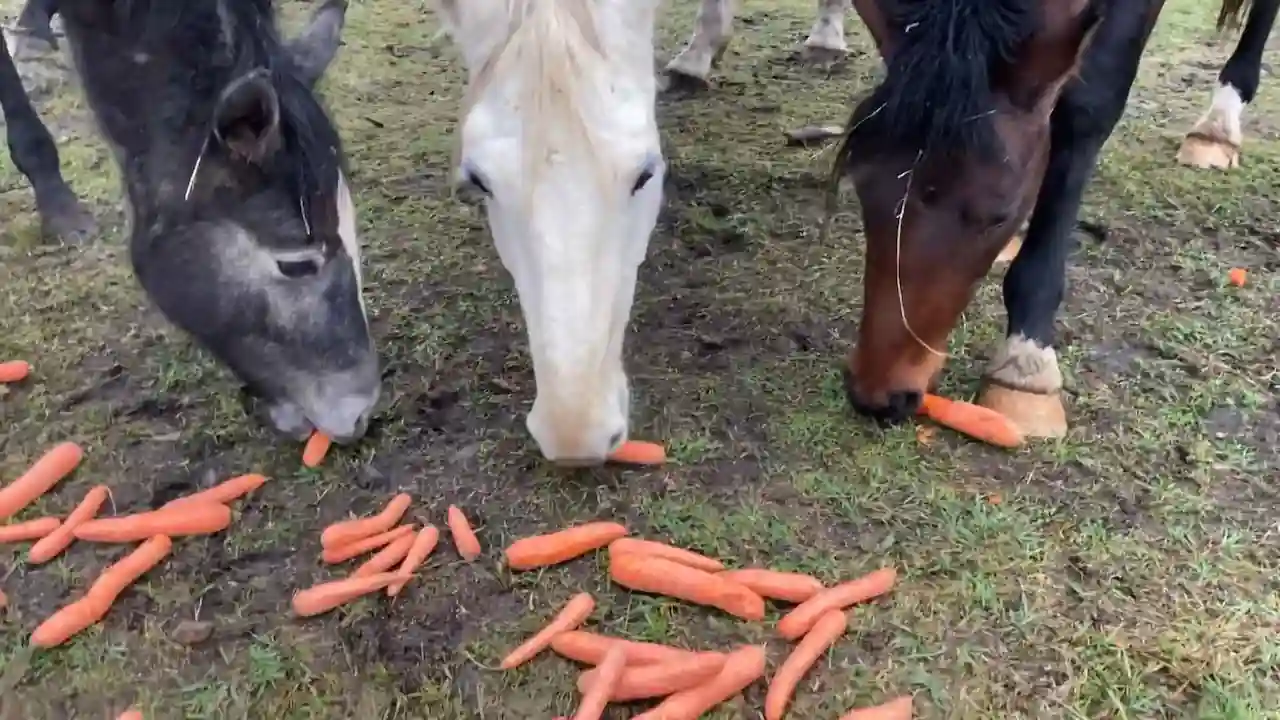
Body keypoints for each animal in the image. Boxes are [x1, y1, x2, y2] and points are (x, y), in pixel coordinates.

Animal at [830, 0, 1233, 438]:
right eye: (862, 186)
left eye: (997, 214)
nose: (877, 395)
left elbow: (1084, 109)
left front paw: (1027, 362)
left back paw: (1219, 128)